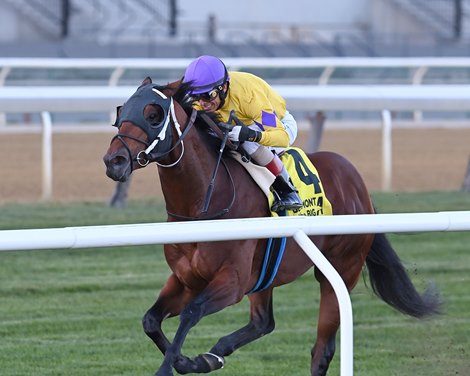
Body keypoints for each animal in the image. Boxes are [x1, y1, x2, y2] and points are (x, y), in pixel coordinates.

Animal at [103, 78, 440, 374]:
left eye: (153, 115)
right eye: (122, 111)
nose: (114, 161)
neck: (202, 206)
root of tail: (359, 185)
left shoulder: (232, 281)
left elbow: (191, 313)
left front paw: (173, 366)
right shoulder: (187, 279)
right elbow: (151, 320)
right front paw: (192, 361)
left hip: (341, 269)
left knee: (322, 349)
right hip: (266, 274)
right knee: (264, 322)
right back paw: (215, 353)